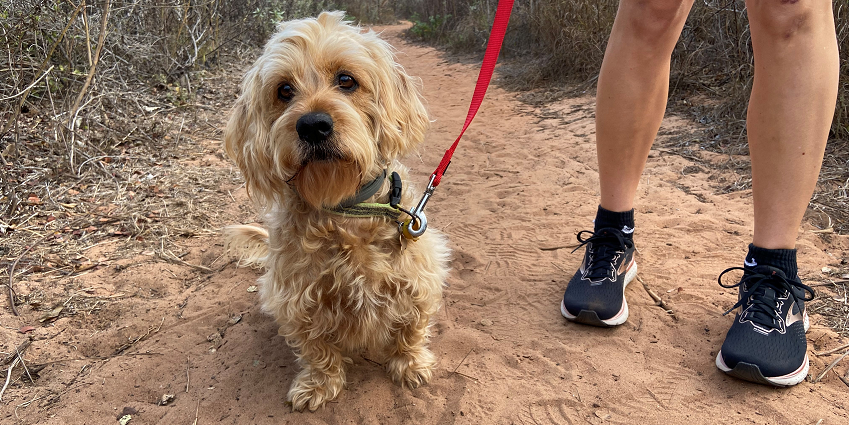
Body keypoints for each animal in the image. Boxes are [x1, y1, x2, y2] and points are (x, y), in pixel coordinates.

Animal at [224, 11, 450, 410]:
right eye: (284, 90)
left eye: (346, 80)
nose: (313, 125)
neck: (344, 206)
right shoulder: (295, 298)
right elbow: (316, 348)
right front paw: (318, 383)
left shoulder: (421, 276)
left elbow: (411, 328)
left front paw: (410, 364)